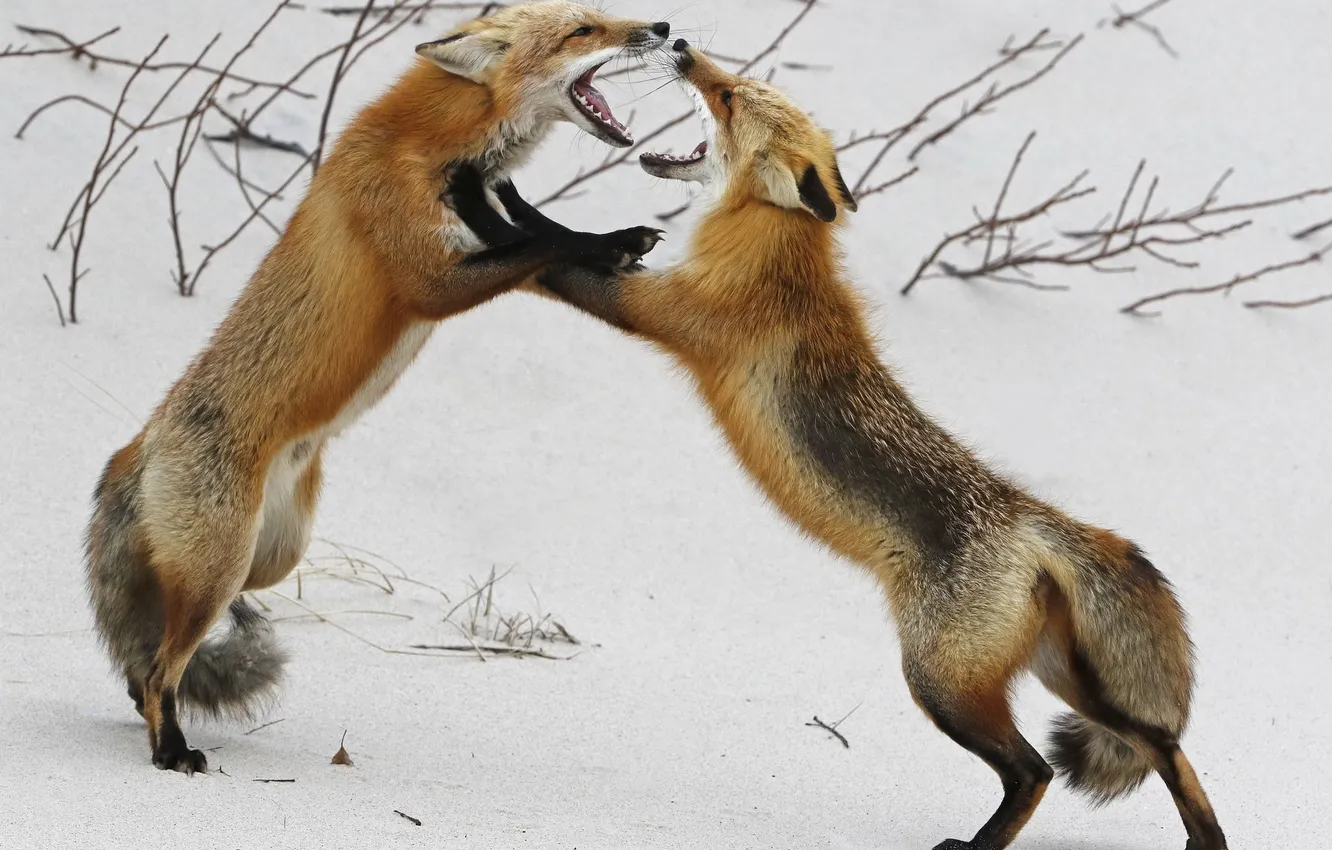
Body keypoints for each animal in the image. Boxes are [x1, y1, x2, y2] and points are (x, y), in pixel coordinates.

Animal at [85, 0, 673, 775]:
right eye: (584, 30)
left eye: (604, 16)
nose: (665, 29)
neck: (430, 143)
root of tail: (139, 443)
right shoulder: (429, 280)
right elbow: (539, 243)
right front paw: (597, 236)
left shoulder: (489, 252)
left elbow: (540, 240)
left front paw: (605, 237)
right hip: (220, 566)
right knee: (160, 669)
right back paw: (171, 750)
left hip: (270, 557)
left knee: (153, 655)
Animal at [441, 39, 1228, 850]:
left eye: (728, 97)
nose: (684, 46)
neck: (776, 247)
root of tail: (1035, 521)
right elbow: (553, 236)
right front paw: (518, 194)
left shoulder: (654, 310)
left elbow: (544, 252)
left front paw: (477, 194)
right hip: (1058, 677)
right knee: (1161, 744)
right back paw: (1204, 838)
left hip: (941, 682)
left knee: (1036, 769)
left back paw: (982, 842)